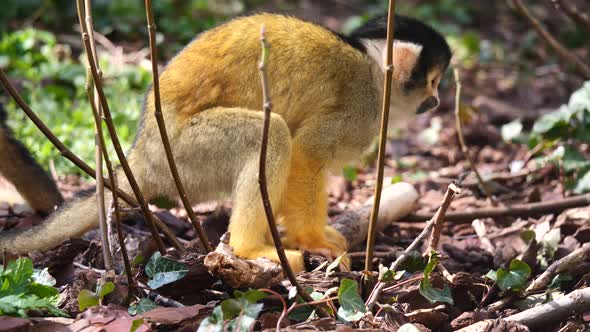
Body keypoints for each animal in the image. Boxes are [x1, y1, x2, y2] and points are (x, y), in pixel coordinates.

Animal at [0, 13, 450, 272]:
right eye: (431, 81)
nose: (436, 101)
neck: (375, 71)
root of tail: (143, 152)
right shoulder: (359, 104)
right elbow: (306, 152)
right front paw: (310, 238)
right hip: (185, 153)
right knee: (273, 136)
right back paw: (249, 249)